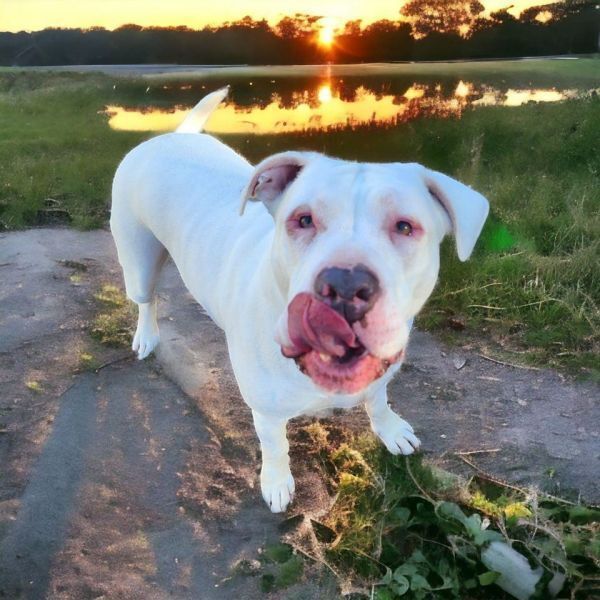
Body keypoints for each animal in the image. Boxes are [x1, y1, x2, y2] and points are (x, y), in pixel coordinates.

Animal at [110, 86, 490, 512]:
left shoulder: (380, 374)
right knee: (147, 299)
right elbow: (275, 446)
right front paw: (276, 482)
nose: (345, 284)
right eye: (303, 220)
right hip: (137, 258)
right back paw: (146, 336)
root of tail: (172, 136)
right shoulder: (266, 411)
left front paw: (390, 428)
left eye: (405, 227)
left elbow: (378, 399)